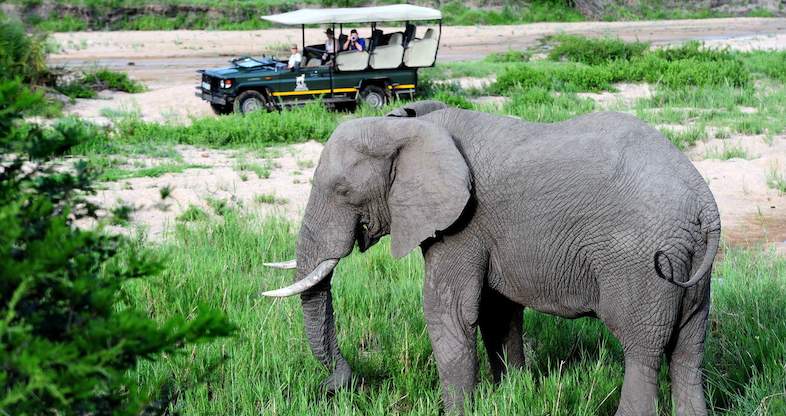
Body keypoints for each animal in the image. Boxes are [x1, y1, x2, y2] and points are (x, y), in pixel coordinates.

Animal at [262, 101, 716, 416]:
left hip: (642, 263)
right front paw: (512, 394)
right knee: (689, 350)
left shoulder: (463, 224)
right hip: (691, 265)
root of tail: (705, 205)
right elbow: (498, 313)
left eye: (342, 191)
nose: (338, 385)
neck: (411, 124)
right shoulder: (486, 234)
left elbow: (449, 312)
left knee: (642, 350)